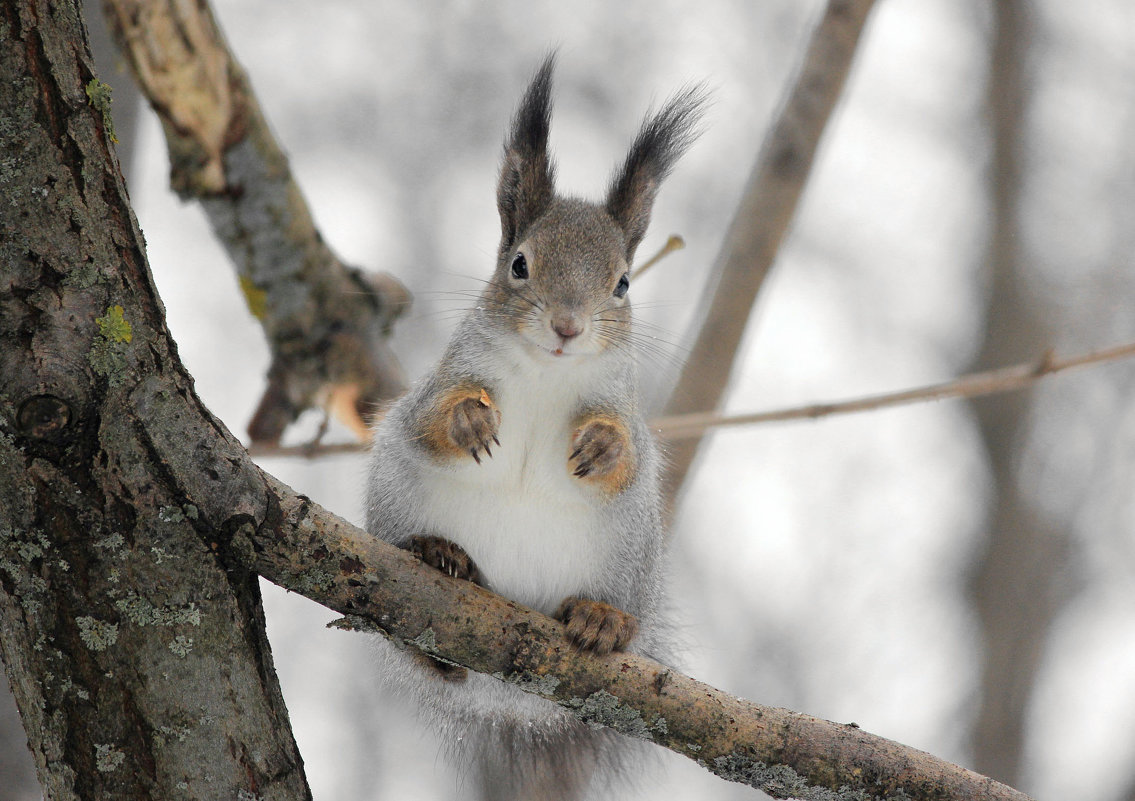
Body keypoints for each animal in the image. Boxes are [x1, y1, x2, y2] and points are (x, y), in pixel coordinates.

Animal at [365, 56, 699, 798]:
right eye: (519, 264)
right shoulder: (442, 381)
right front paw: (467, 420)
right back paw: (440, 557)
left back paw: (602, 619)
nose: (567, 326)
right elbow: (426, 418)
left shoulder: (624, 403)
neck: (547, 371)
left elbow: (630, 455)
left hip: (630, 553)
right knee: (430, 660)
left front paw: (601, 445)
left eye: (623, 283)